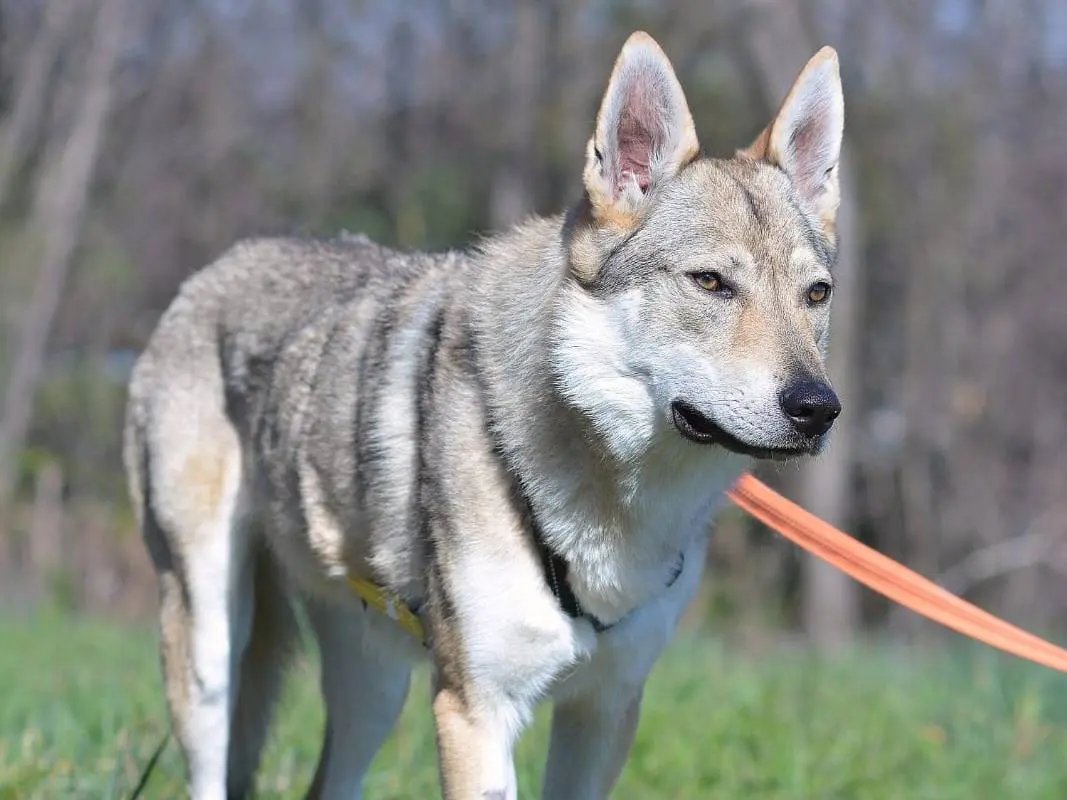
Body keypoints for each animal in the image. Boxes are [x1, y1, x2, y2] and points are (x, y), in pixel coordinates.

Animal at [123, 31, 845, 800]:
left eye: (816, 294)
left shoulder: (606, 708)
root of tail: (214, 267)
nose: (818, 408)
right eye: (710, 282)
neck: (614, 504)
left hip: (375, 682)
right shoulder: (475, 709)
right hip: (210, 648)